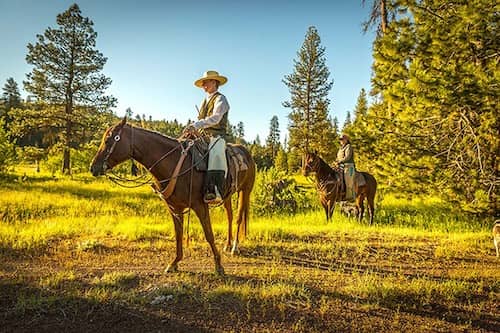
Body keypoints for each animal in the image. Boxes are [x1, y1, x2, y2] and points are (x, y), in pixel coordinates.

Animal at [90, 118, 256, 274]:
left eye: (108, 140)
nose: (93, 168)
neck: (175, 163)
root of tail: (245, 152)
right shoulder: (174, 207)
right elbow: (178, 234)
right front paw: (174, 262)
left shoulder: (199, 205)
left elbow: (209, 234)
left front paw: (219, 266)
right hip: (227, 195)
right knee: (230, 216)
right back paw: (228, 245)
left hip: (245, 191)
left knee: (238, 217)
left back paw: (234, 247)